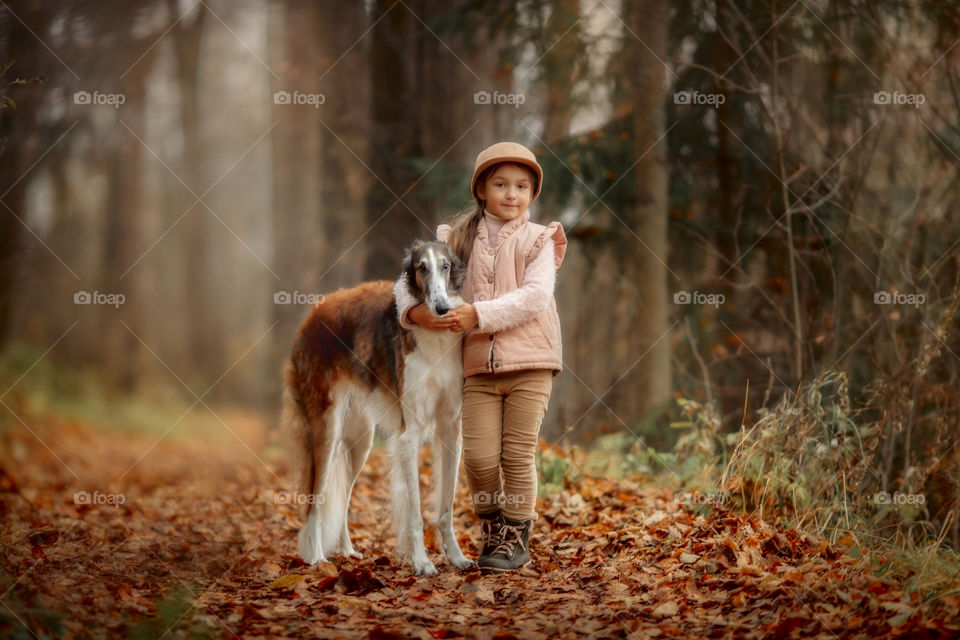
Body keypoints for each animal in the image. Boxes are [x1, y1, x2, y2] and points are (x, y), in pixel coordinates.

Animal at [280, 240, 470, 576]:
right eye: (421, 268)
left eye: (446, 266)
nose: (441, 308)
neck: (434, 337)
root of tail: (312, 315)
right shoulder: (410, 434)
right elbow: (415, 510)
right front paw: (421, 562)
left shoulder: (450, 430)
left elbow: (445, 508)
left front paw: (455, 557)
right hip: (325, 431)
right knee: (314, 501)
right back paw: (317, 558)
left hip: (359, 440)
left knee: (343, 496)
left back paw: (346, 550)